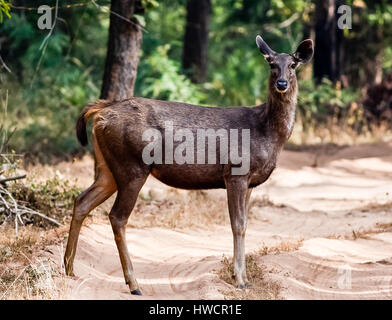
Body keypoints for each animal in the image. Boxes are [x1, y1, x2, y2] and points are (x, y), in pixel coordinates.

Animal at [65, 35, 316, 296]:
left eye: (293, 65)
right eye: (271, 63)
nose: (281, 83)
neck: (267, 133)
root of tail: (101, 112)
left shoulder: (250, 182)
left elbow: (246, 225)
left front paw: (245, 278)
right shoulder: (235, 172)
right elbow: (237, 225)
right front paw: (239, 279)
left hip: (108, 168)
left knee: (82, 200)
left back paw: (69, 268)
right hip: (132, 165)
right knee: (117, 216)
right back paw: (133, 284)